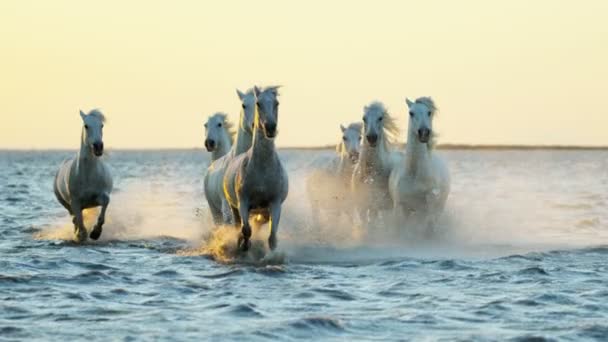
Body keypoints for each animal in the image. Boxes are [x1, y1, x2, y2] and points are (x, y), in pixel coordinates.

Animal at [53, 109, 113, 240]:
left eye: (102, 125)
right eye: (86, 126)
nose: (98, 147)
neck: (88, 175)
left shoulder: (99, 197)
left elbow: (105, 204)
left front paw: (95, 232)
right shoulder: (75, 202)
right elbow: (80, 222)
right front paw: (81, 235)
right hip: (65, 202)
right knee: (74, 217)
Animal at [223, 85, 290, 251]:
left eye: (277, 103)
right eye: (258, 103)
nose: (270, 128)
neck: (262, 169)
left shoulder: (275, 203)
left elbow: (272, 237)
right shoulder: (243, 201)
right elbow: (246, 229)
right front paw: (244, 245)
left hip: (263, 211)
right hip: (234, 207)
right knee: (238, 224)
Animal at [390, 97, 452, 232]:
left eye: (429, 112)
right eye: (411, 113)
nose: (424, 132)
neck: (414, 174)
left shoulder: (428, 208)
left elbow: (428, 227)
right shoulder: (401, 208)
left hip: (437, 208)